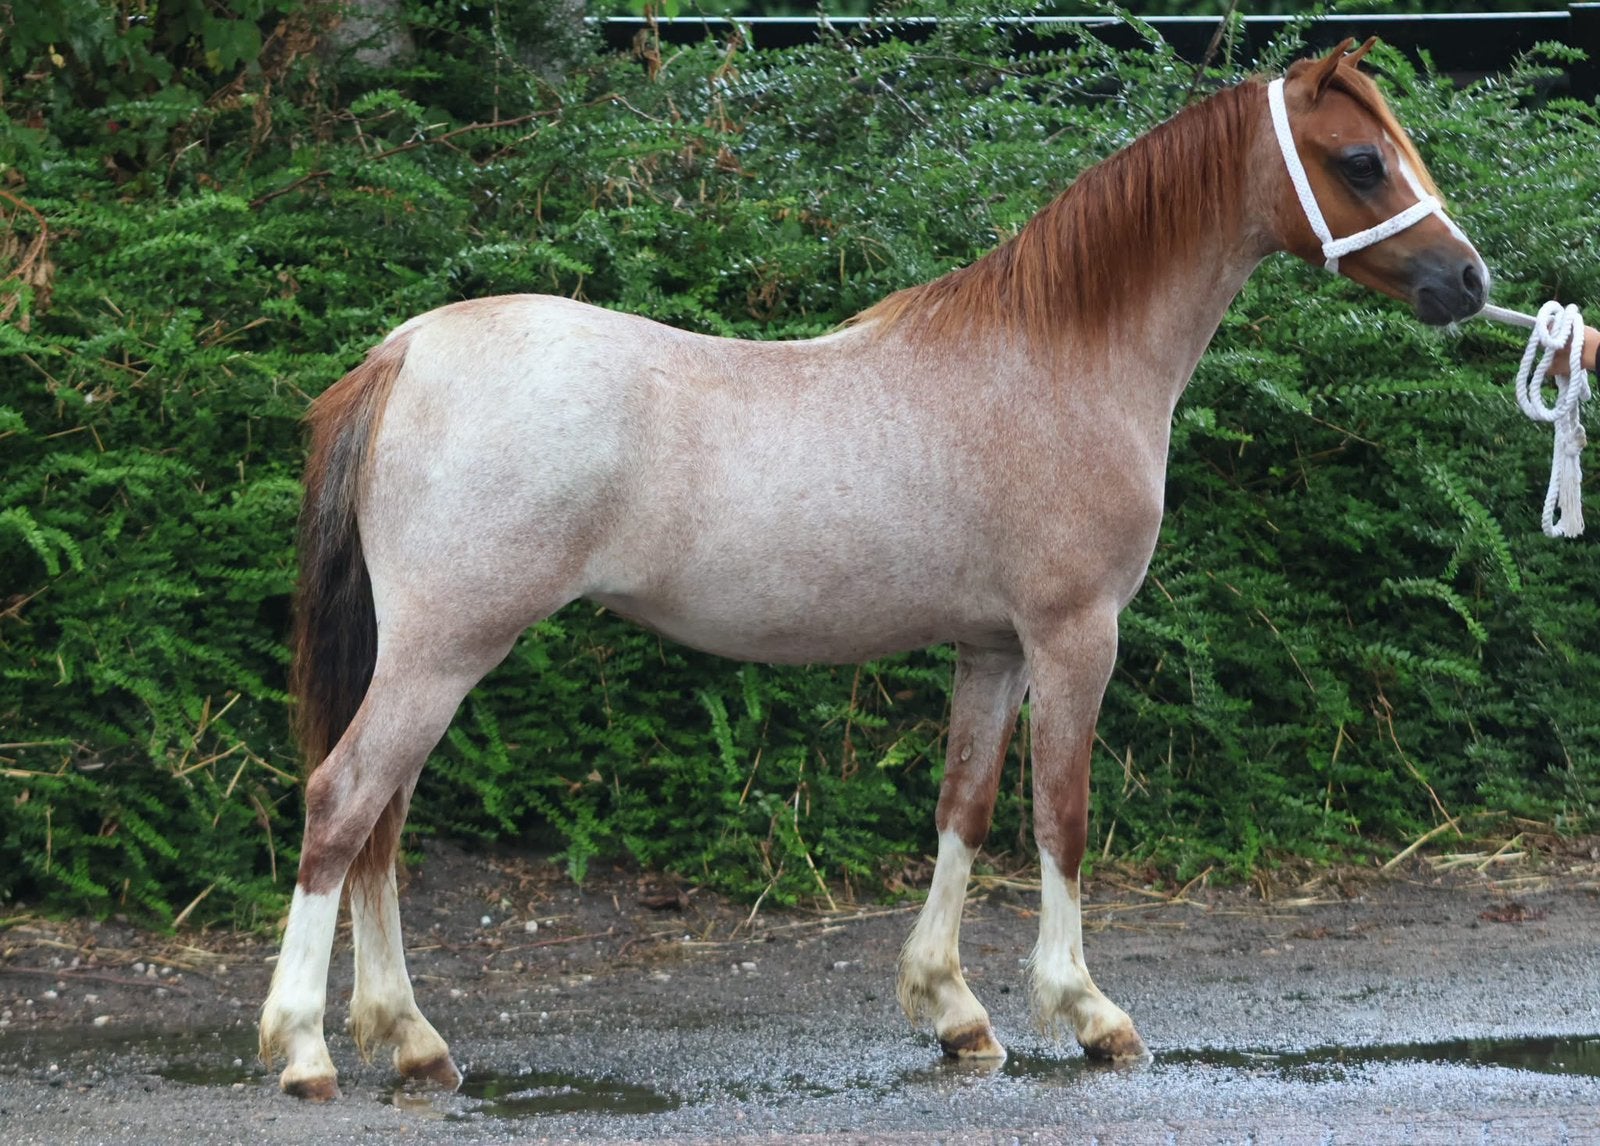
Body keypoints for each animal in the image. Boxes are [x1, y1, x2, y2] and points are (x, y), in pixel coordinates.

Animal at [259, 39, 1489, 1099]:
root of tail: (402, 354)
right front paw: (1085, 1011)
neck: (1061, 356)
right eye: (1362, 160)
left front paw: (954, 1012)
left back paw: (409, 1040)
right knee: (343, 802)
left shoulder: (991, 647)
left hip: (428, 657)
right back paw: (307, 1049)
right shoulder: (1073, 635)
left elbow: (965, 809)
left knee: (382, 823)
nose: (1469, 282)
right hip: (443, 651)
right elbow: (1062, 815)